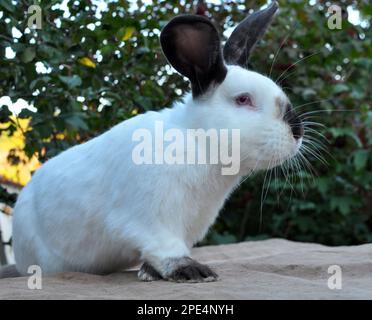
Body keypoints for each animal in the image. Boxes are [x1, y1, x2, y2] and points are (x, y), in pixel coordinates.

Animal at [2, 2, 302, 282]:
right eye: (243, 99)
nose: (297, 131)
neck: (198, 142)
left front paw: (149, 272)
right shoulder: (153, 222)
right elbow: (166, 250)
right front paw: (192, 271)